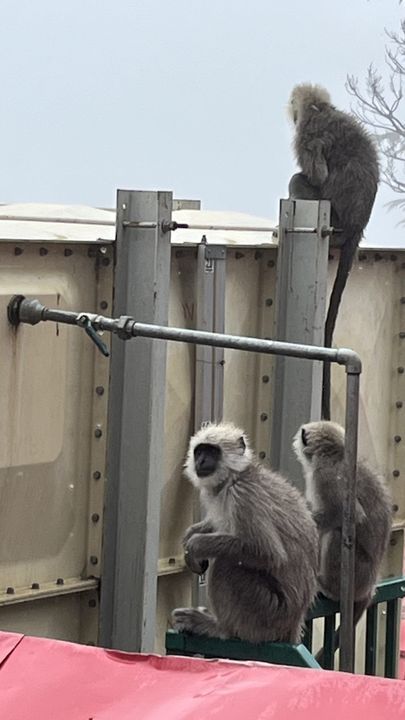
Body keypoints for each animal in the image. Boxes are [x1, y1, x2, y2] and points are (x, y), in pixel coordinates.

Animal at [171, 421, 319, 645]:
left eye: (211, 452)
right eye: (199, 451)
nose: (201, 461)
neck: (235, 476)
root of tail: (293, 623)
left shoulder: (243, 495)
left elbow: (267, 553)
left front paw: (195, 545)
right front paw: (191, 537)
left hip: (265, 613)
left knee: (226, 564)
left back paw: (220, 628)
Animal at [287, 83, 380, 420]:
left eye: (295, 109)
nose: (292, 114)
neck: (324, 110)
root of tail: (355, 230)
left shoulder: (307, 135)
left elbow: (316, 174)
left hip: (335, 225)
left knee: (299, 180)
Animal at [293, 420, 392, 663]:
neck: (337, 455)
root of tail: (369, 586)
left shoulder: (326, 476)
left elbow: (349, 516)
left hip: (357, 573)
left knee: (337, 534)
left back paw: (327, 587)